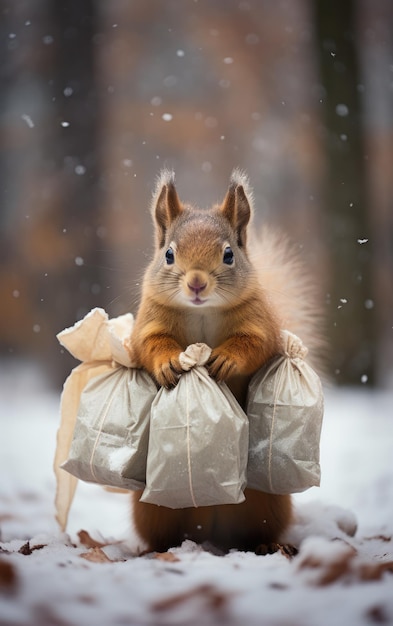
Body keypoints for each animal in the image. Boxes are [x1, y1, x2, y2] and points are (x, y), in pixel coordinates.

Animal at [129, 169, 322, 552]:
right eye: (169, 254)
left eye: (229, 254)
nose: (197, 283)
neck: (202, 312)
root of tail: (209, 520)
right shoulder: (148, 323)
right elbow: (150, 345)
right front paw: (167, 363)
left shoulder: (260, 324)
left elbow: (255, 345)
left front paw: (227, 360)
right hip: (154, 509)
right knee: (161, 531)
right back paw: (157, 550)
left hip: (267, 503)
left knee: (260, 529)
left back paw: (268, 546)